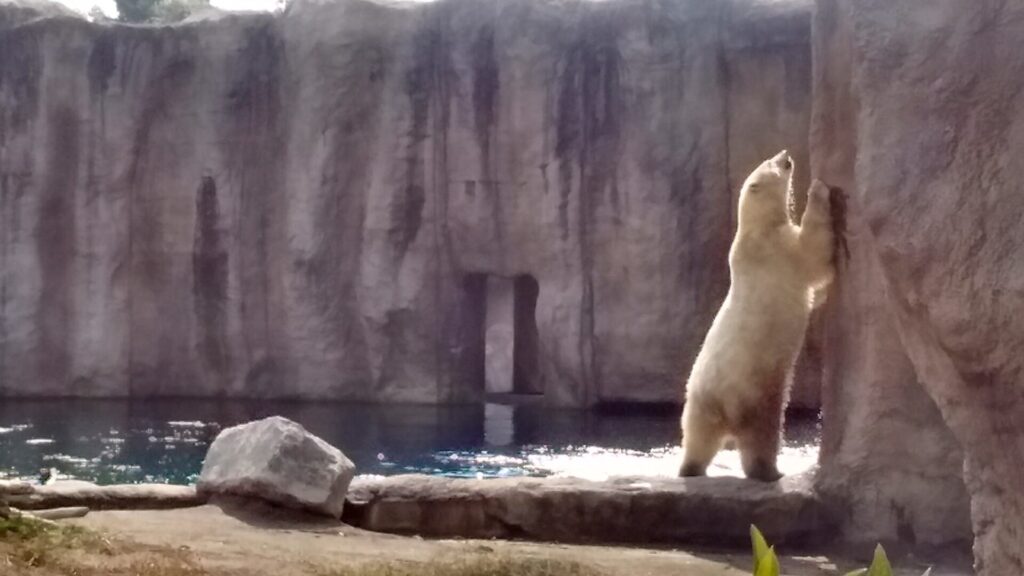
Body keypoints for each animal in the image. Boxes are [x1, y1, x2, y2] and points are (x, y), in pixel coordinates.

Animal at [679, 151, 839, 479]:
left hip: (697, 404)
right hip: (755, 394)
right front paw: (818, 190)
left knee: (697, 438)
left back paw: (690, 468)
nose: (786, 155)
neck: (753, 230)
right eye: (770, 163)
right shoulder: (777, 249)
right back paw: (771, 471)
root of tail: (721, 408)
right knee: (762, 437)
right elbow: (813, 254)